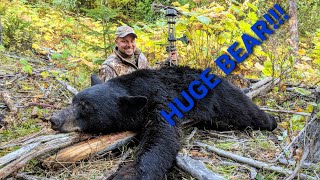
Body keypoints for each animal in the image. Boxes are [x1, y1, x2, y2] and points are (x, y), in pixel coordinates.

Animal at [50, 65, 278, 179]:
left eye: (86, 107)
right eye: (74, 101)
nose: (54, 119)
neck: (136, 88)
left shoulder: (162, 101)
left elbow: (161, 140)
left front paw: (129, 174)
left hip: (222, 97)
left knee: (245, 110)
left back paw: (272, 120)